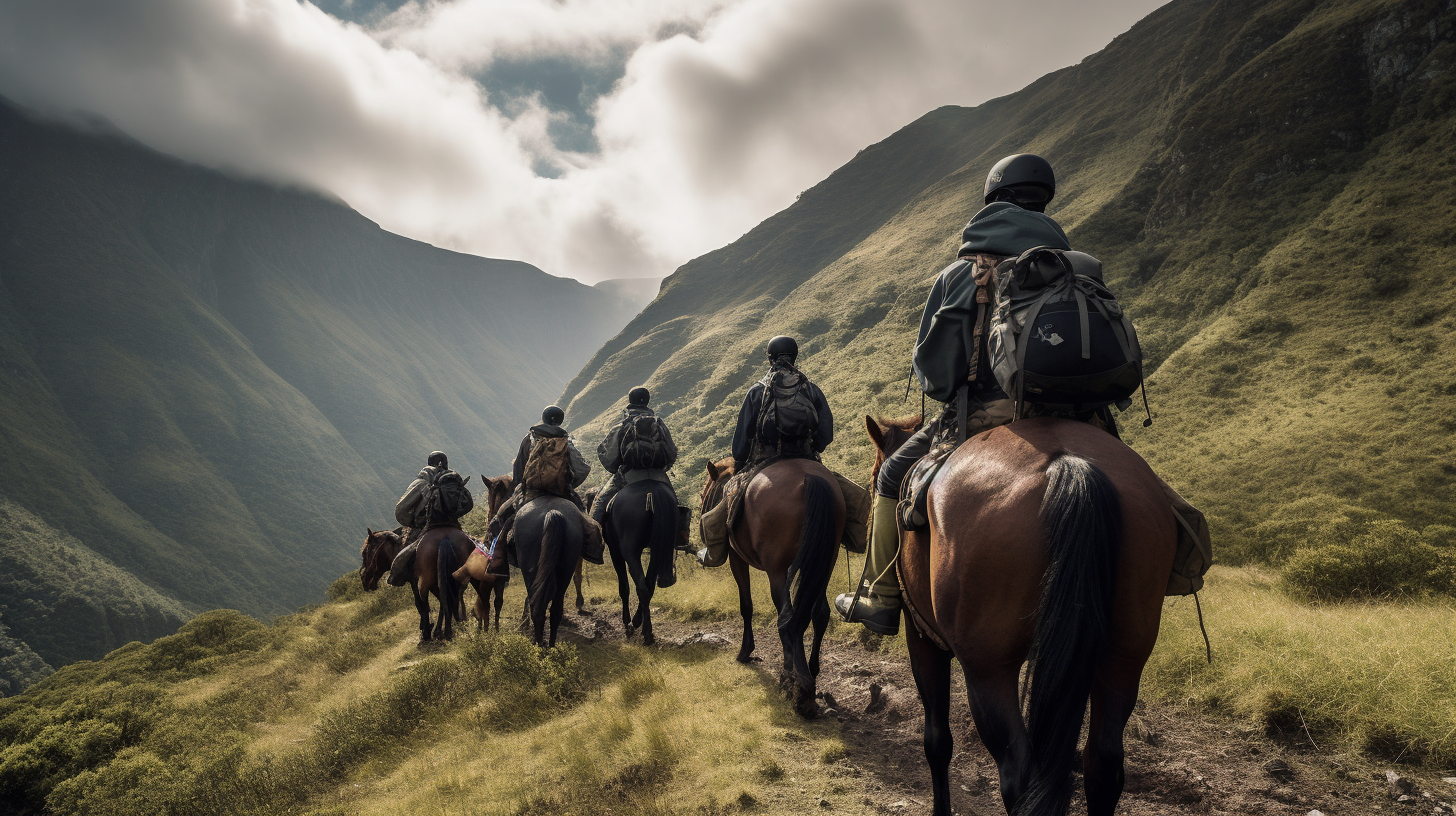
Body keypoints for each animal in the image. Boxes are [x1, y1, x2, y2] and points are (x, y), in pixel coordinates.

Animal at [512, 495, 579, 646]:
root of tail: (552, 513)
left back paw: (538, 643)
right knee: (555, 611)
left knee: (536, 607)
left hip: (530, 572)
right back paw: (551, 645)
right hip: (565, 572)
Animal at [596, 477, 675, 644]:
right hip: (658, 549)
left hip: (630, 551)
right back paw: (642, 624)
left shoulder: (615, 551)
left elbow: (624, 587)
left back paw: (646, 632)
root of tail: (653, 491)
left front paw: (626, 623)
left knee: (641, 586)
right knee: (649, 585)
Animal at [698, 454, 850, 716]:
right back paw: (810, 674)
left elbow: (746, 606)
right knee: (818, 614)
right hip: (823, 563)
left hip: (777, 571)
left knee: (788, 617)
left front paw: (746, 651)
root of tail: (809, 476)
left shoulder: (737, 559)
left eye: (703, 493)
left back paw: (795, 683)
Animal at [867, 413, 1176, 816]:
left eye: (875, 475)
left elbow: (936, 741)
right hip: (1123, 660)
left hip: (987, 670)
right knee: (1104, 766)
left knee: (1018, 774)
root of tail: (1069, 463)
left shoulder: (921, 637)